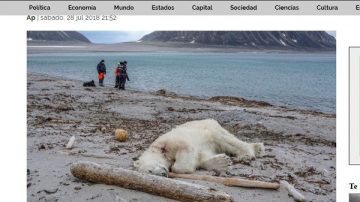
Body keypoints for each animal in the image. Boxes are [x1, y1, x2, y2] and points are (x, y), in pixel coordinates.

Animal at [134, 119, 262, 176]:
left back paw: (249, 153)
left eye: (150, 170)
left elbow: (185, 152)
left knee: (225, 139)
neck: (158, 149)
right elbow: (203, 157)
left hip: (210, 128)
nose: (162, 174)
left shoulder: (171, 141)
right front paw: (222, 162)